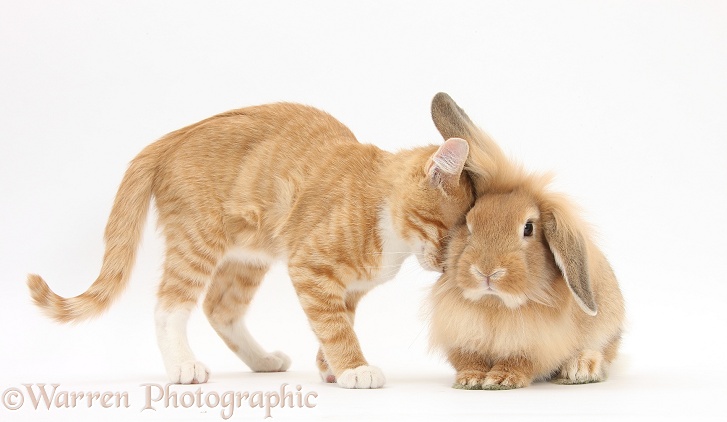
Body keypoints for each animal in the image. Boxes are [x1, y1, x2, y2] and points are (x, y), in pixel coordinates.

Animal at [426, 94, 624, 390]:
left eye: (528, 228)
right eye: (470, 224)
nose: (487, 271)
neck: (495, 304)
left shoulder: (533, 345)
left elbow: (520, 361)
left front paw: (502, 379)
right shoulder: (462, 338)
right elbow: (468, 359)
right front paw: (471, 378)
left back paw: (580, 368)